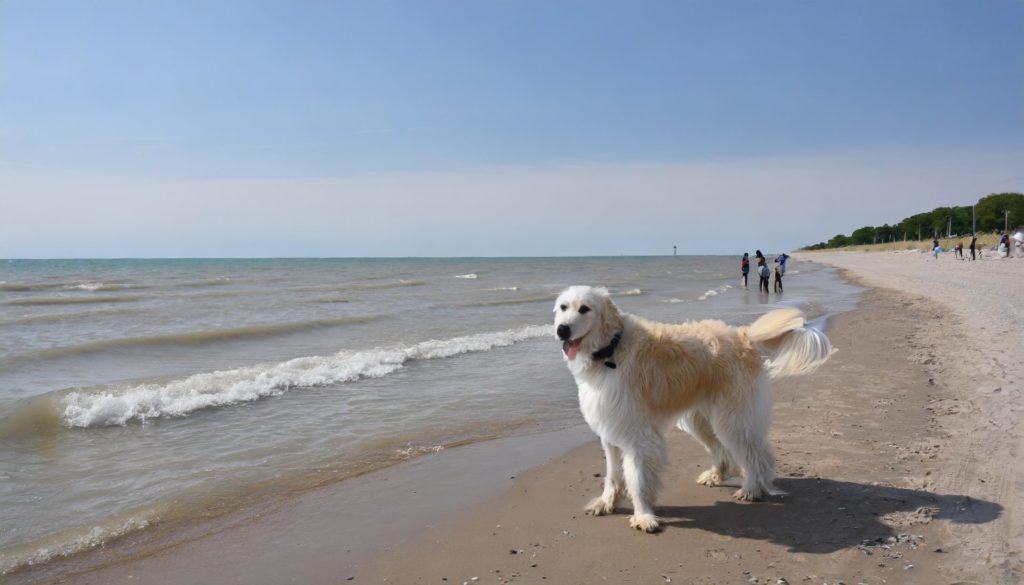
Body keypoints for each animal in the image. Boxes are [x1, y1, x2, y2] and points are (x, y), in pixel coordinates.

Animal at [557, 286, 835, 532]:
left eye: (585, 308)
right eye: (563, 307)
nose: (562, 330)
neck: (611, 348)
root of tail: (743, 335)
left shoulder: (638, 436)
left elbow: (638, 479)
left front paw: (644, 515)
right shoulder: (610, 429)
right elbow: (613, 475)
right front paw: (607, 503)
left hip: (732, 418)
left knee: (756, 454)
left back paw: (752, 489)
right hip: (702, 420)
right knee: (725, 451)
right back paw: (718, 476)